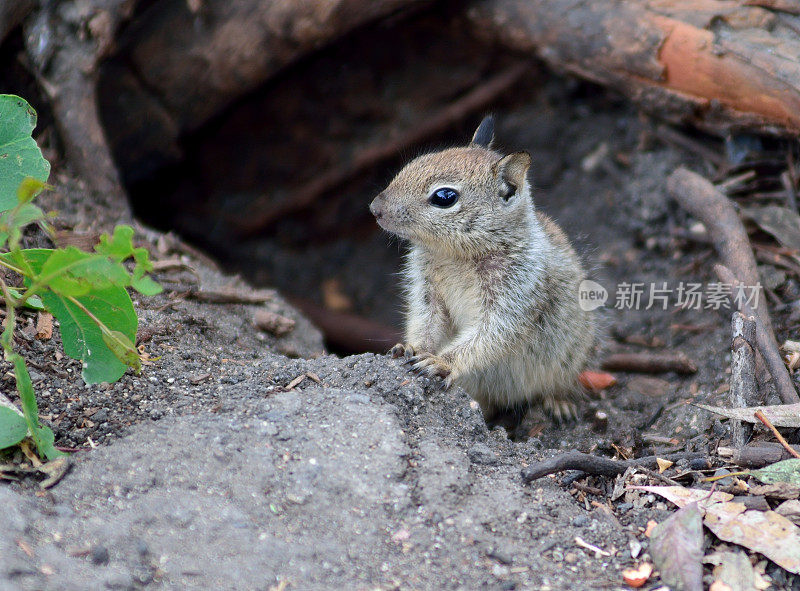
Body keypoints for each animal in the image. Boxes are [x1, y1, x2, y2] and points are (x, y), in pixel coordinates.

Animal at [368, 115, 592, 420]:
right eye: (413, 164)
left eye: (444, 197)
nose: (374, 208)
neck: (455, 254)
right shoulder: (426, 288)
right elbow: (426, 320)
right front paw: (411, 347)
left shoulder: (517, 291)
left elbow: (490, 335)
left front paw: (440, 362)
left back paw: (559, 403)